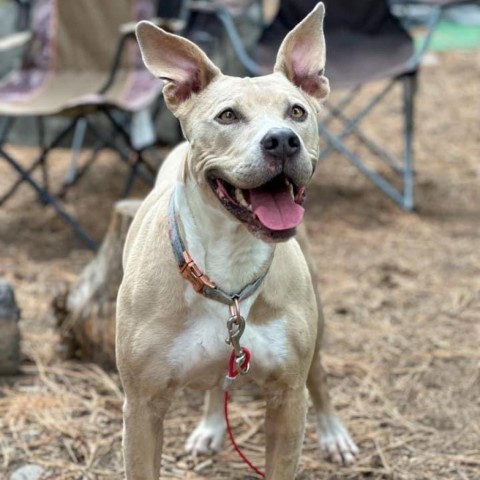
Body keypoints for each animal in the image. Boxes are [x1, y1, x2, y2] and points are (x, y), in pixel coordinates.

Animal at [115, 4, 356, 480]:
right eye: (227, 116)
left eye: (297, 111)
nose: (282, 140)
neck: (229, 264)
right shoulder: (142, 407)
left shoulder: (287, 397)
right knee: (218, 383)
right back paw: (210, 426)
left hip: (316, 329)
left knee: (318, 378)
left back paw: (334, 432)